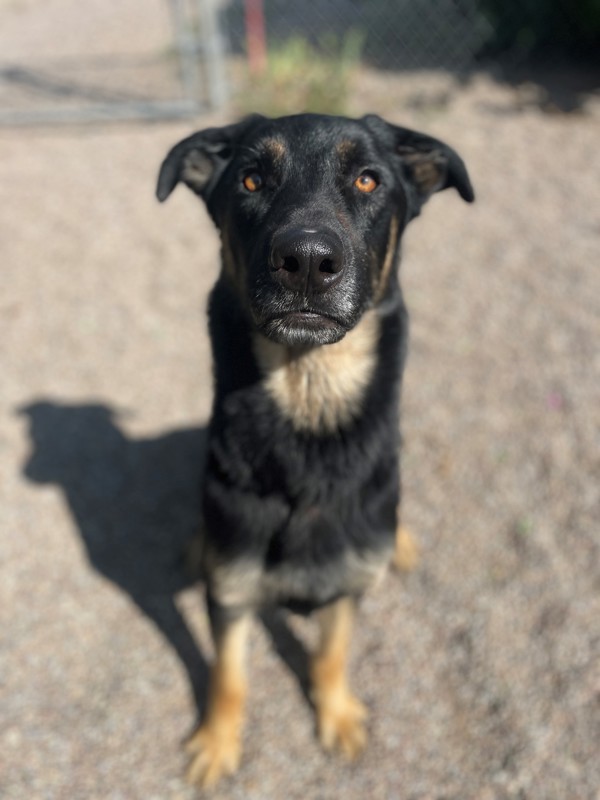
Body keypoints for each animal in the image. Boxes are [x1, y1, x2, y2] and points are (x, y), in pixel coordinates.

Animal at [156, 114, 474, 788]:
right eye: (250, 179)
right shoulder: (231, 589)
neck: (306, 405)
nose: (305, 261)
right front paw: (217, 742)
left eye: (368, 179)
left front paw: (338, 717)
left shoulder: (345, 583)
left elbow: (331, 653)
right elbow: (228, 674)